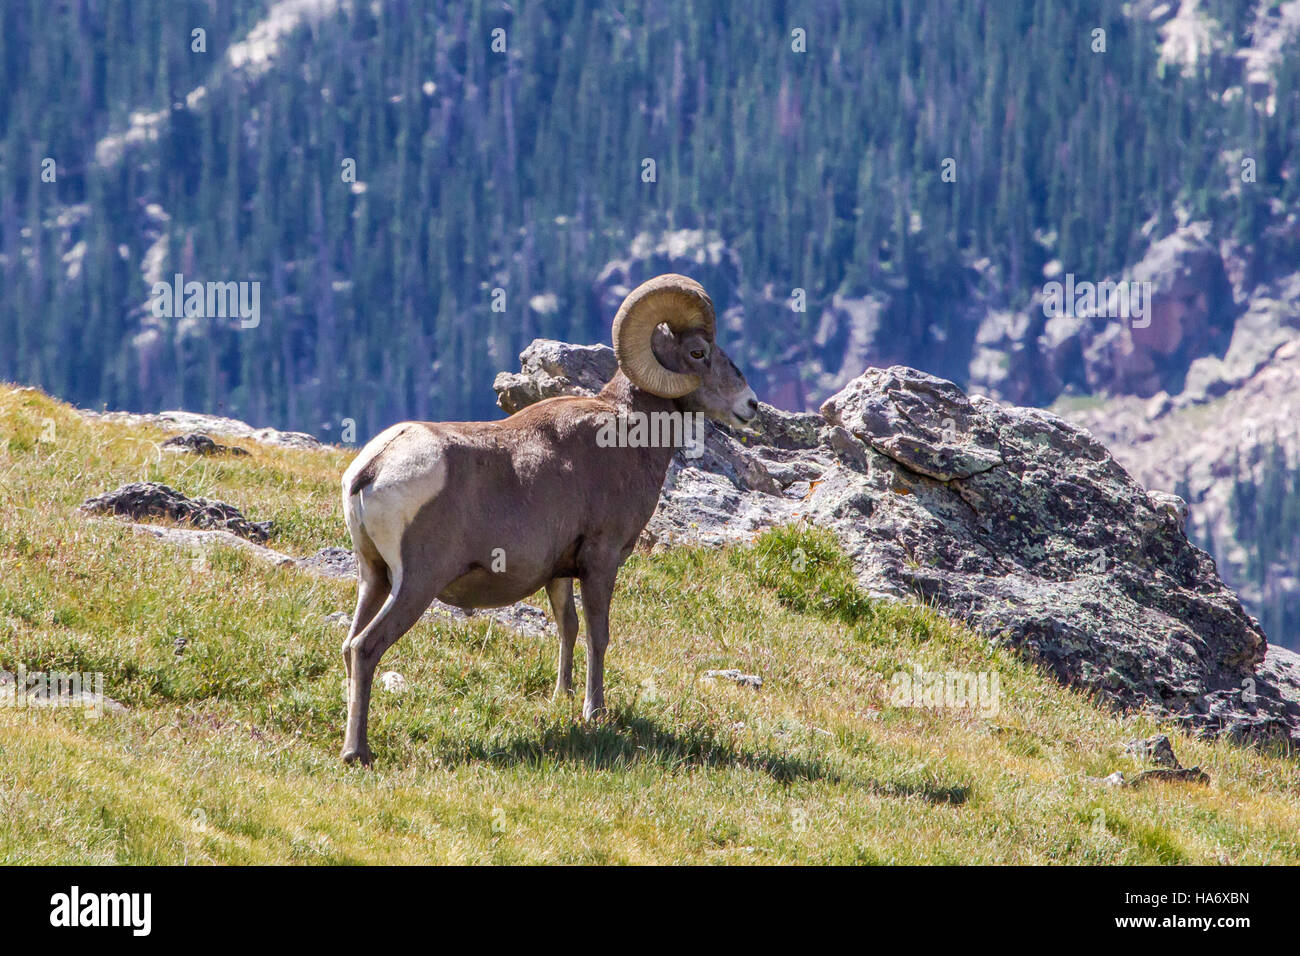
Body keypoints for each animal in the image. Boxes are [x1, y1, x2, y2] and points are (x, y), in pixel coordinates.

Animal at [338, 274, 758, 764]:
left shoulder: (558, 571)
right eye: (697, 353)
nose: (750, 405)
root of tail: (373, 467)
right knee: (366, 647)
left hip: (373, 577)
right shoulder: (601, 559)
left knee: (349, 646)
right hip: (416, 584)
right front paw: (594, 711)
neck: (626, 434)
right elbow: (598, 633)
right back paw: (358, 754)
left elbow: (567, 626)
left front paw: (563, 695)